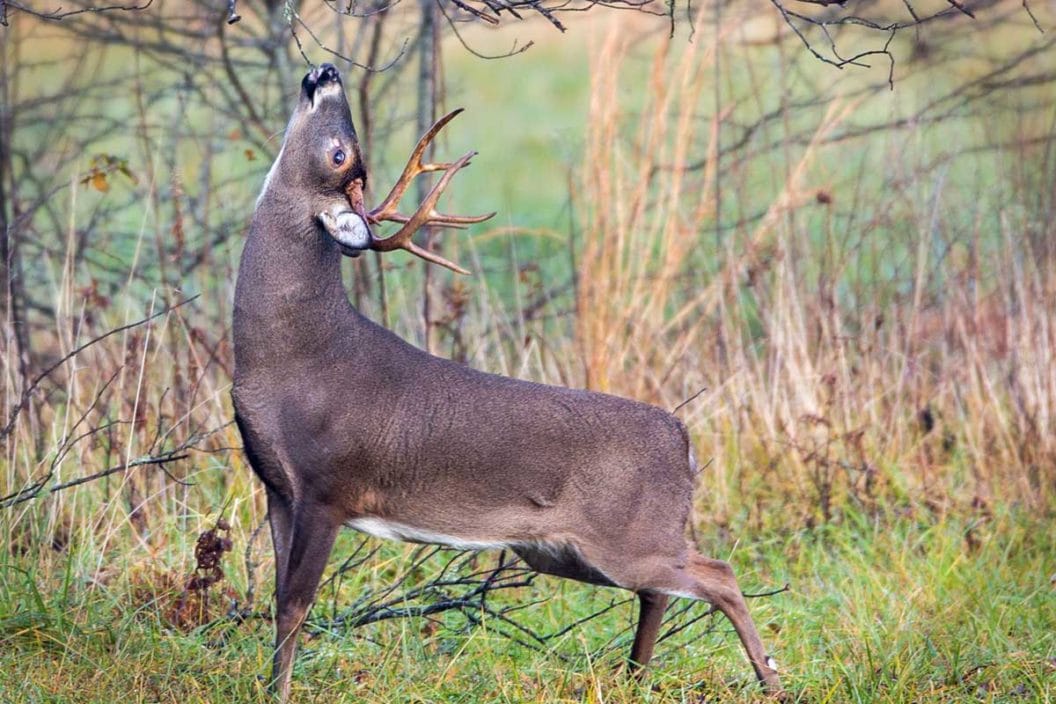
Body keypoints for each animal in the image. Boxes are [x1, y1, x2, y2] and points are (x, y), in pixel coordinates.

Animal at [233, 63, 785, 700]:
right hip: (568, 551)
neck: (290, 354)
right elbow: (280, 598)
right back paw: (633, 675)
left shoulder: (326, 484)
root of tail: (684, 439)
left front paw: (277, 692)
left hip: (629, 533)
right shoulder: (277, 486)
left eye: (339, 152)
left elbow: (296, 603)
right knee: (660, 591)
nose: (327, 71)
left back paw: (769, 681)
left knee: (717, 574)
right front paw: (267, 684)